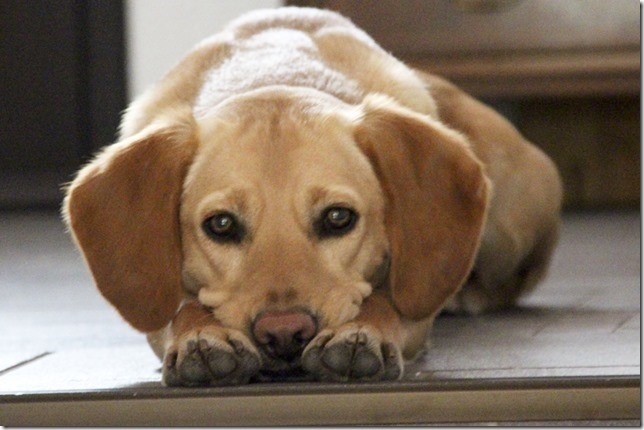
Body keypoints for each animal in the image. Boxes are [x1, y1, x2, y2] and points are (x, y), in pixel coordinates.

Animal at [63, 6, 560, 384]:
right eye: (220, 224)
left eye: (338, 218)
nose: (284, 334)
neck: (273, 72)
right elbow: (178, 310)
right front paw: (201, 337)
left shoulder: (413, 299)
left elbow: (384, 301)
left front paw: (362, 332)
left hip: (506, 230)